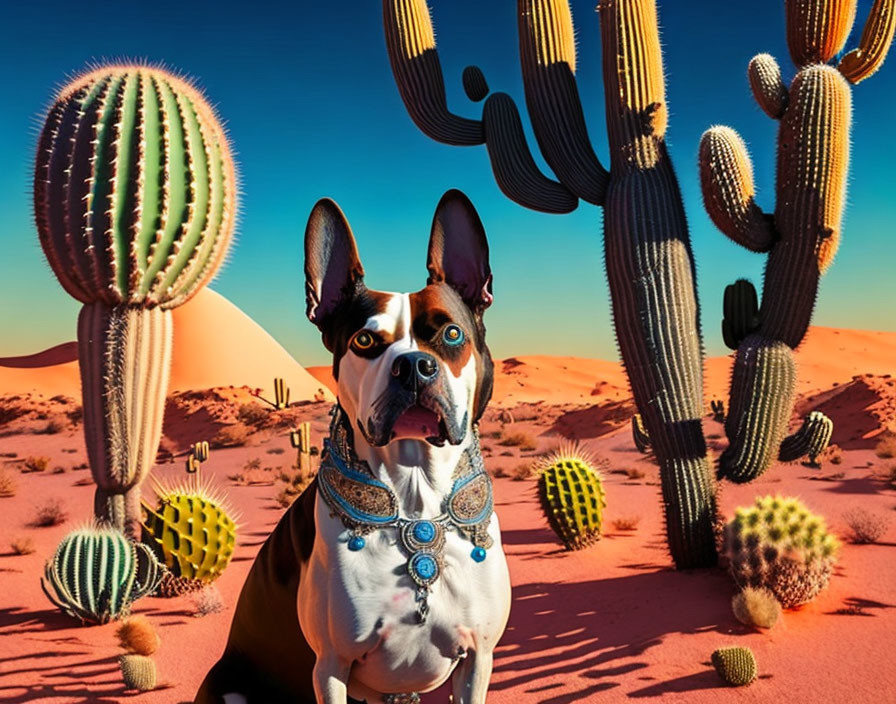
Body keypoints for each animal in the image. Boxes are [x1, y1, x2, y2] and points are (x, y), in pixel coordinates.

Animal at [196, 190, 512, 700]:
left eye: (452, 333)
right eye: (365, 340)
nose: (414, 365)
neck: (415, 504)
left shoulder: (477, 660)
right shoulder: (331, 666)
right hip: (230, 687)